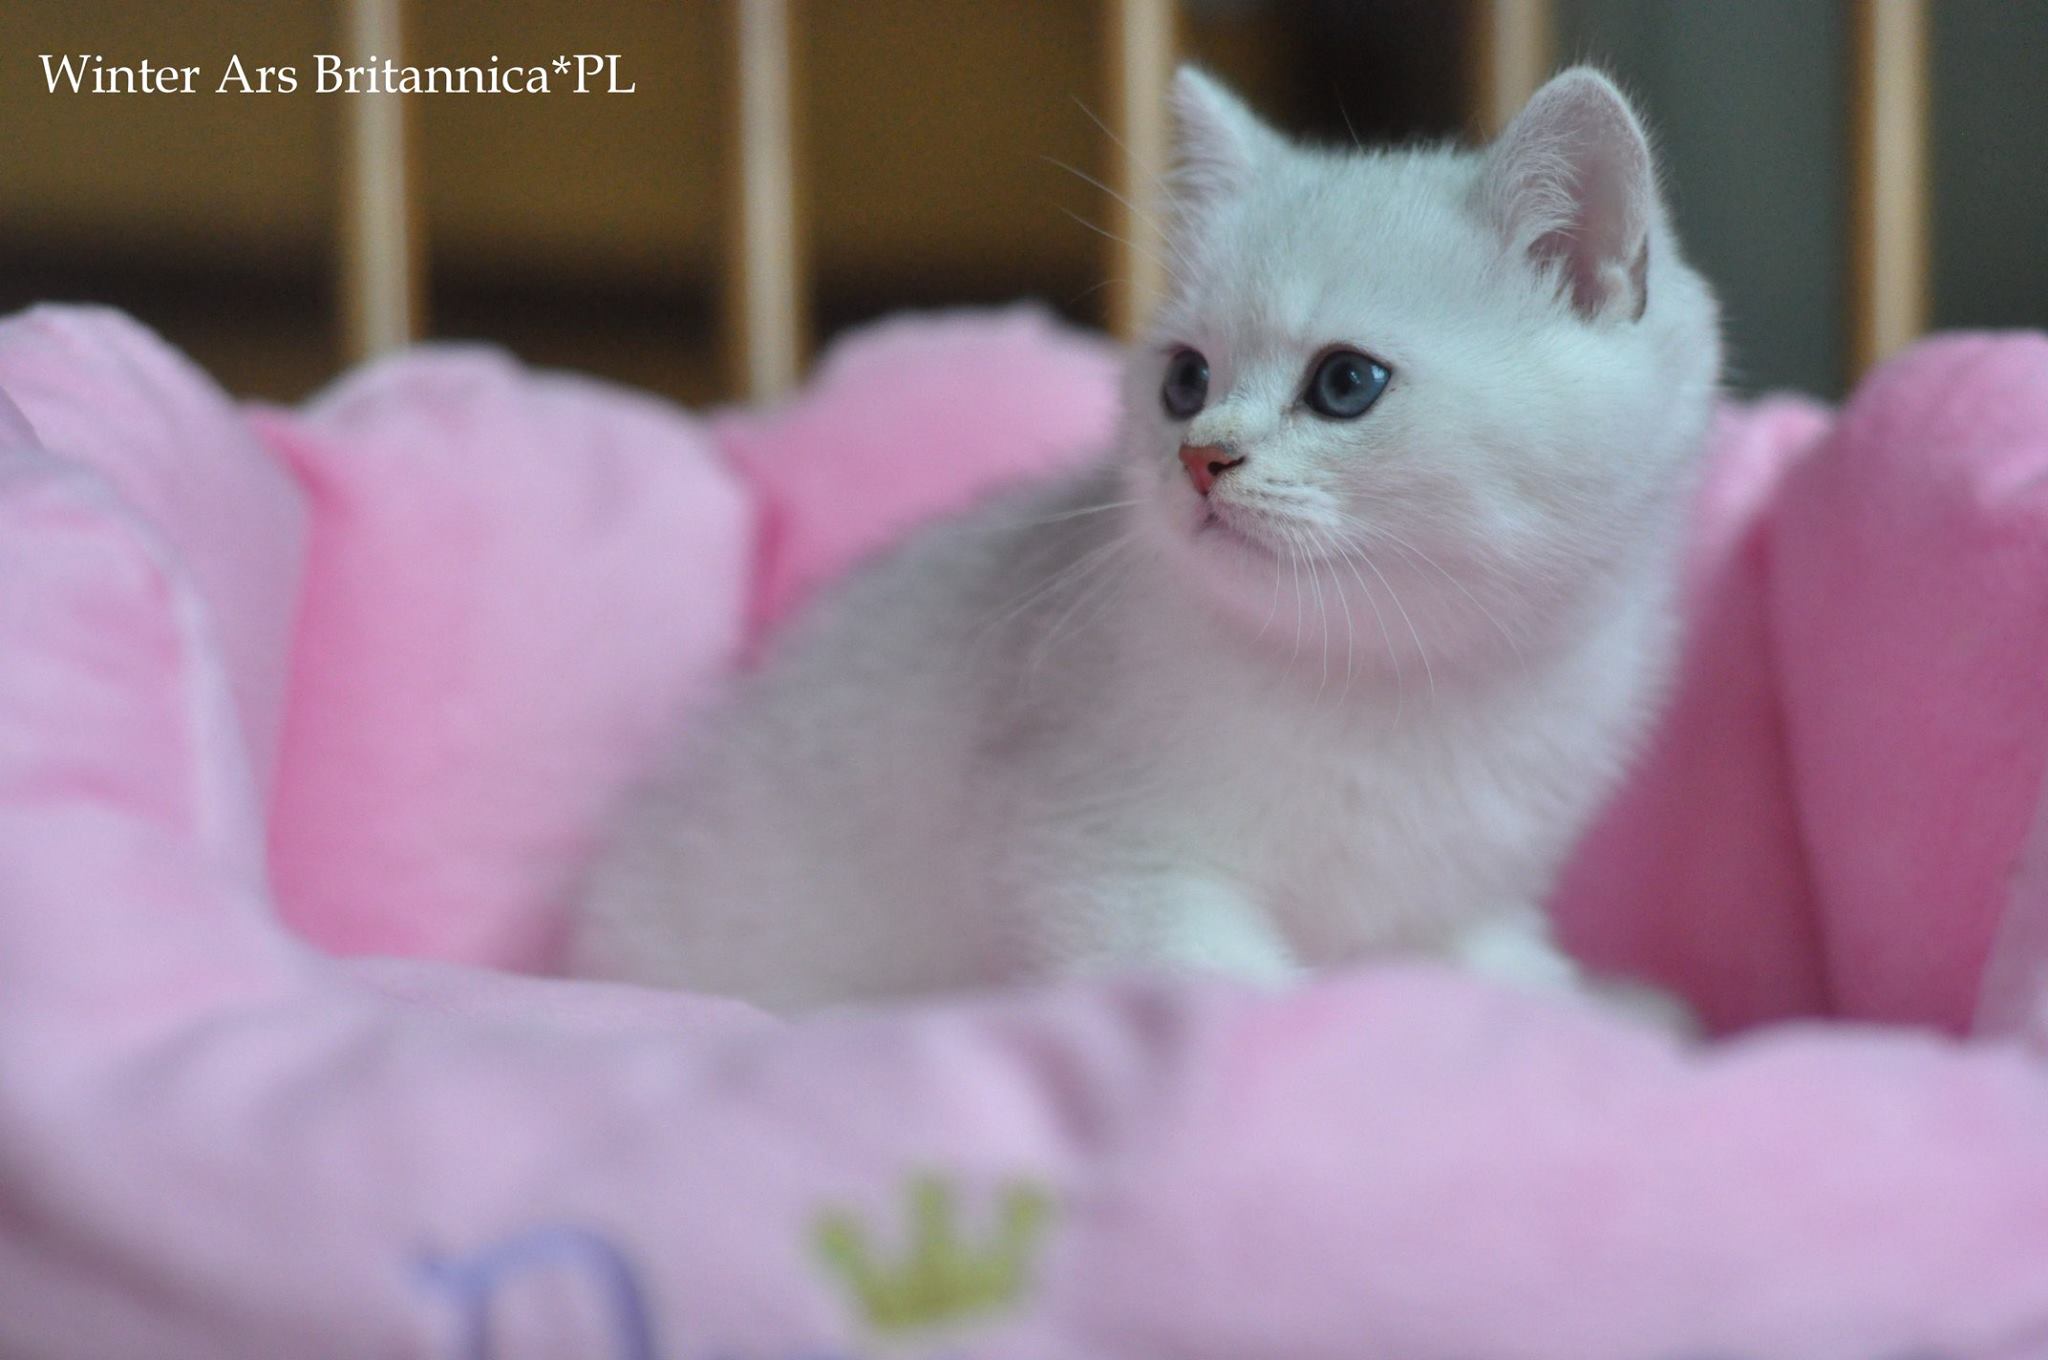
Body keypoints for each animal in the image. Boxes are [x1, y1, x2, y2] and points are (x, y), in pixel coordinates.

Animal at [571, 66, 1722, 1015]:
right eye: (1185, 381)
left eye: (1346, 383)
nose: (1200, 459)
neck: (1393, 682)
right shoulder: (1093, 848)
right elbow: (1218, 988)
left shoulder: (1462, 893)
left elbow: (1513, 980)